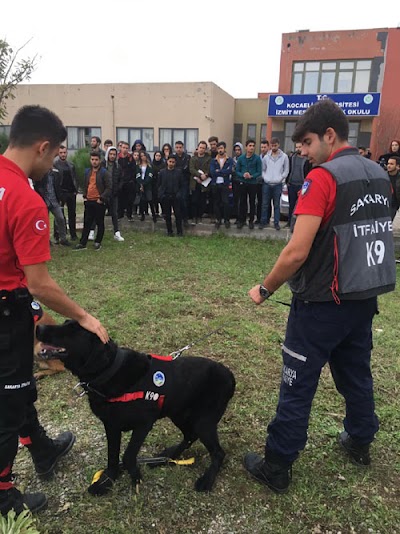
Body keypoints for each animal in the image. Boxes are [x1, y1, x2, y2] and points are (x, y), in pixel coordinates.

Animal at [36, 320, 236, 496]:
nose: (38, 327)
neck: (109, 371)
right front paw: (107, 481)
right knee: (190, 436)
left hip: (203, 422)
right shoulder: (111, 426)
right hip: (178, 413)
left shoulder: (143, 425)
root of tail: (230, 375)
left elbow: (127, 455)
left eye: (73, 330)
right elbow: (112, 456)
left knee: (218, 452)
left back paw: (206, 479)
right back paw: (167, 457)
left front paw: (134, 476)